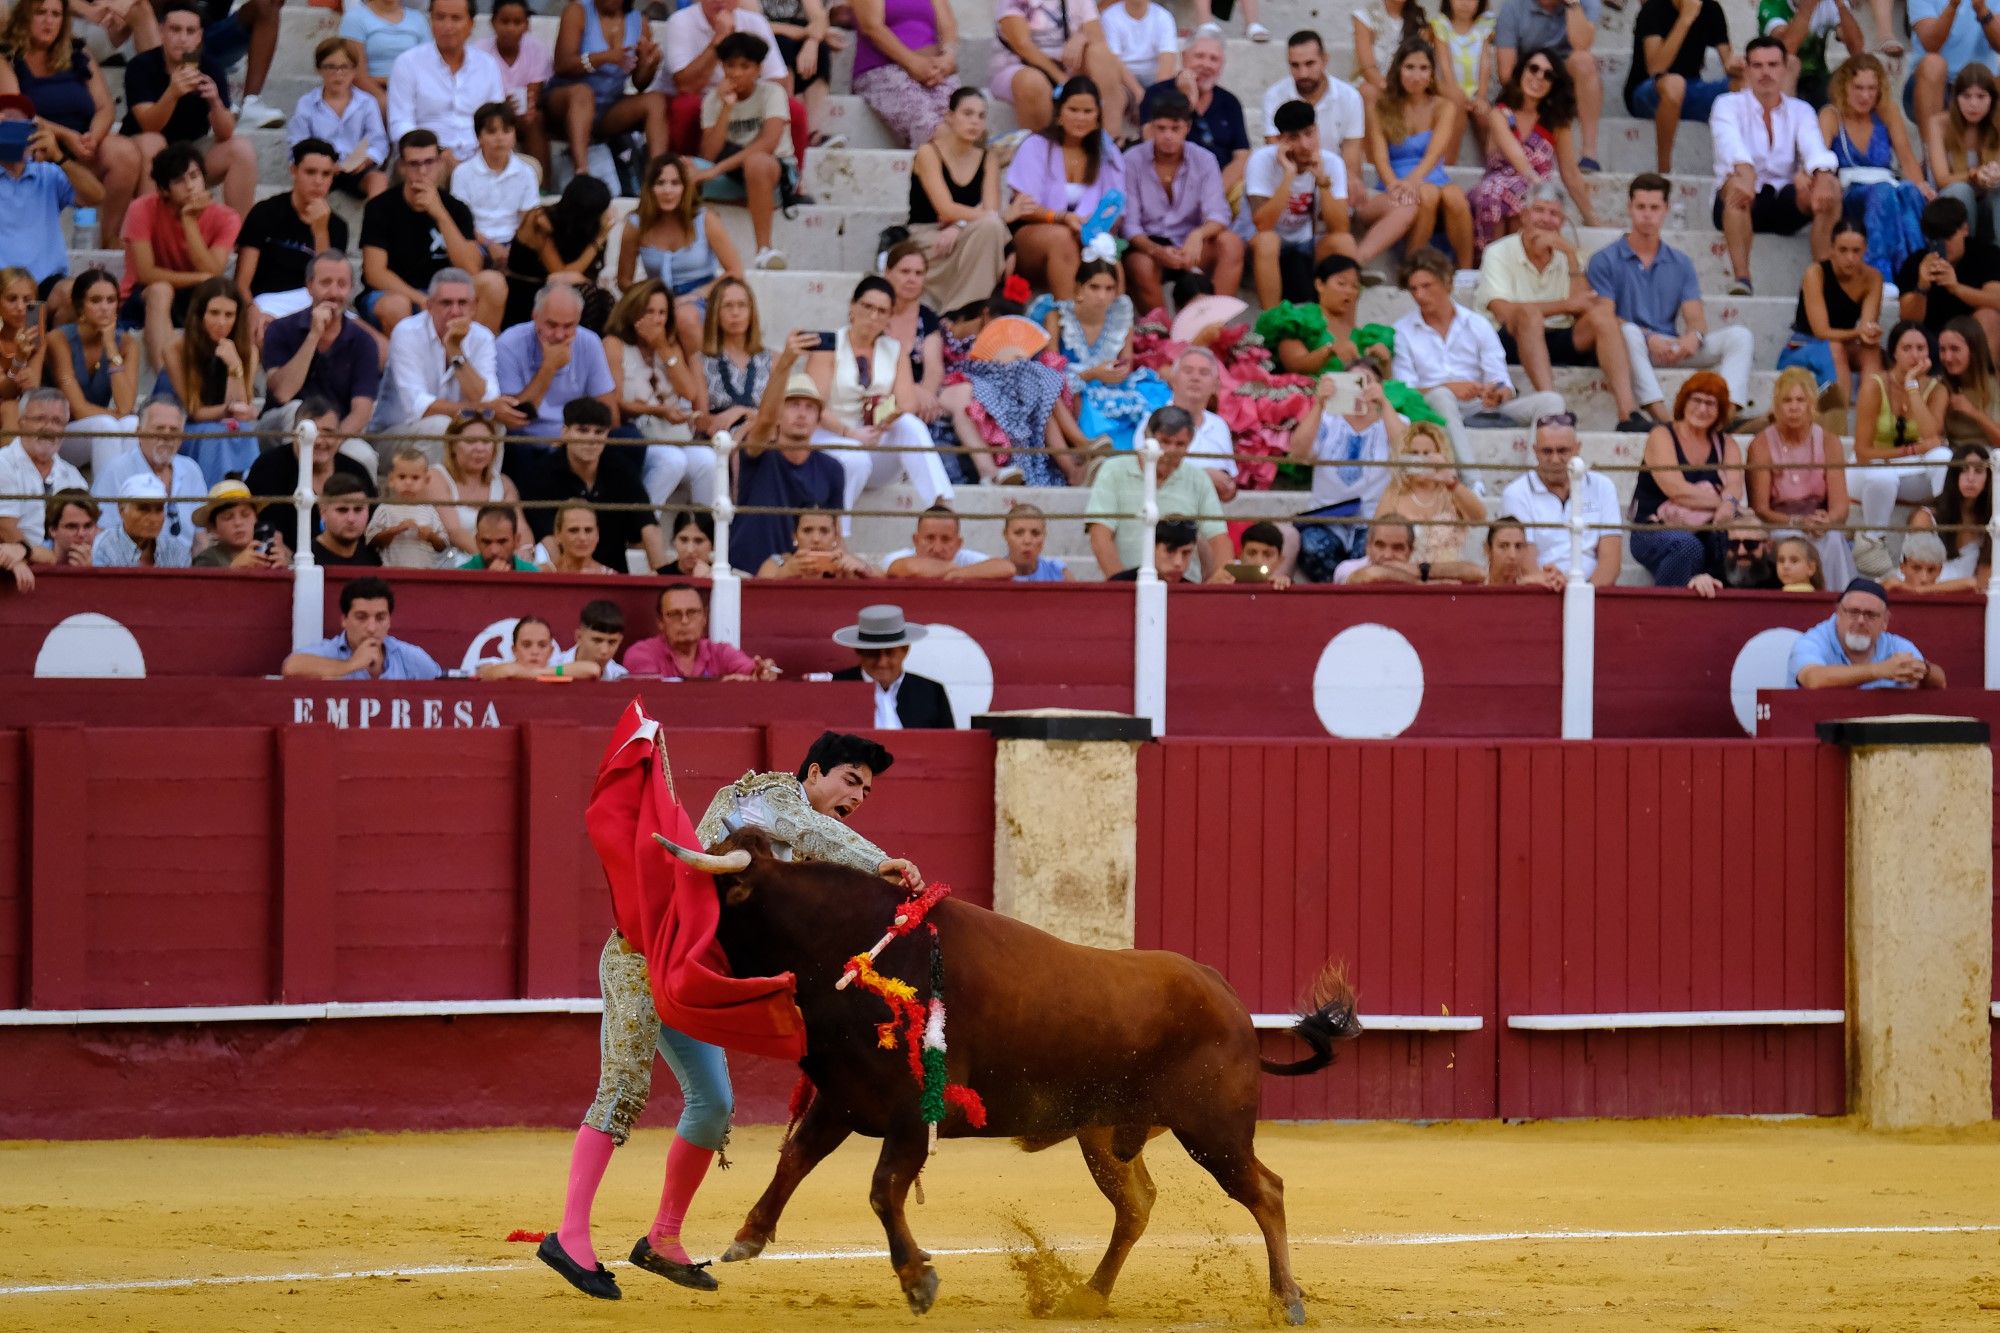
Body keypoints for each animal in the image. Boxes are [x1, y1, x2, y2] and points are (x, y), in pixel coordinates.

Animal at [656, 832, 1360, 1320]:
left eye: (709, 898)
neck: (840, 945)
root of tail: (1228, 998)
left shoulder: (913, 1113)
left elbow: (882, 1190)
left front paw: (918, 1281)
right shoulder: (843, 1097)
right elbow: (796, 1159)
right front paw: (748, 1237)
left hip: (1214, 1131)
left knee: (1265, 1191)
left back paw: (1287, 1301)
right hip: (1105, 1135)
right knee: (1136, 1205)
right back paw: (1088, 1296)